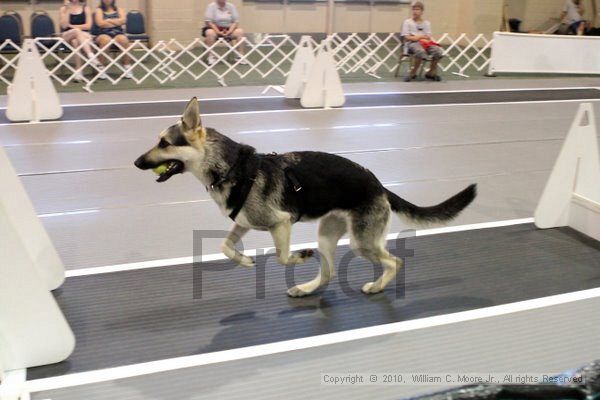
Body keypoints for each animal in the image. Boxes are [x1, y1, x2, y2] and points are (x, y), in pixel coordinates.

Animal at [134, 97, 476, 296]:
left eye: (164, 143)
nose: (136, 163)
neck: (229, 167)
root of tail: (378, 184)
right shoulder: (242, 223)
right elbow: (225, 247)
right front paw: (244, 261)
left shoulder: (281, 224)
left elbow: (281, 256)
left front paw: (298, 256)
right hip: (328, 235)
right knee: (330, 273)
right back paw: (306, 289)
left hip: (361, 242)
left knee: (395, 262)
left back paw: (377, 287)